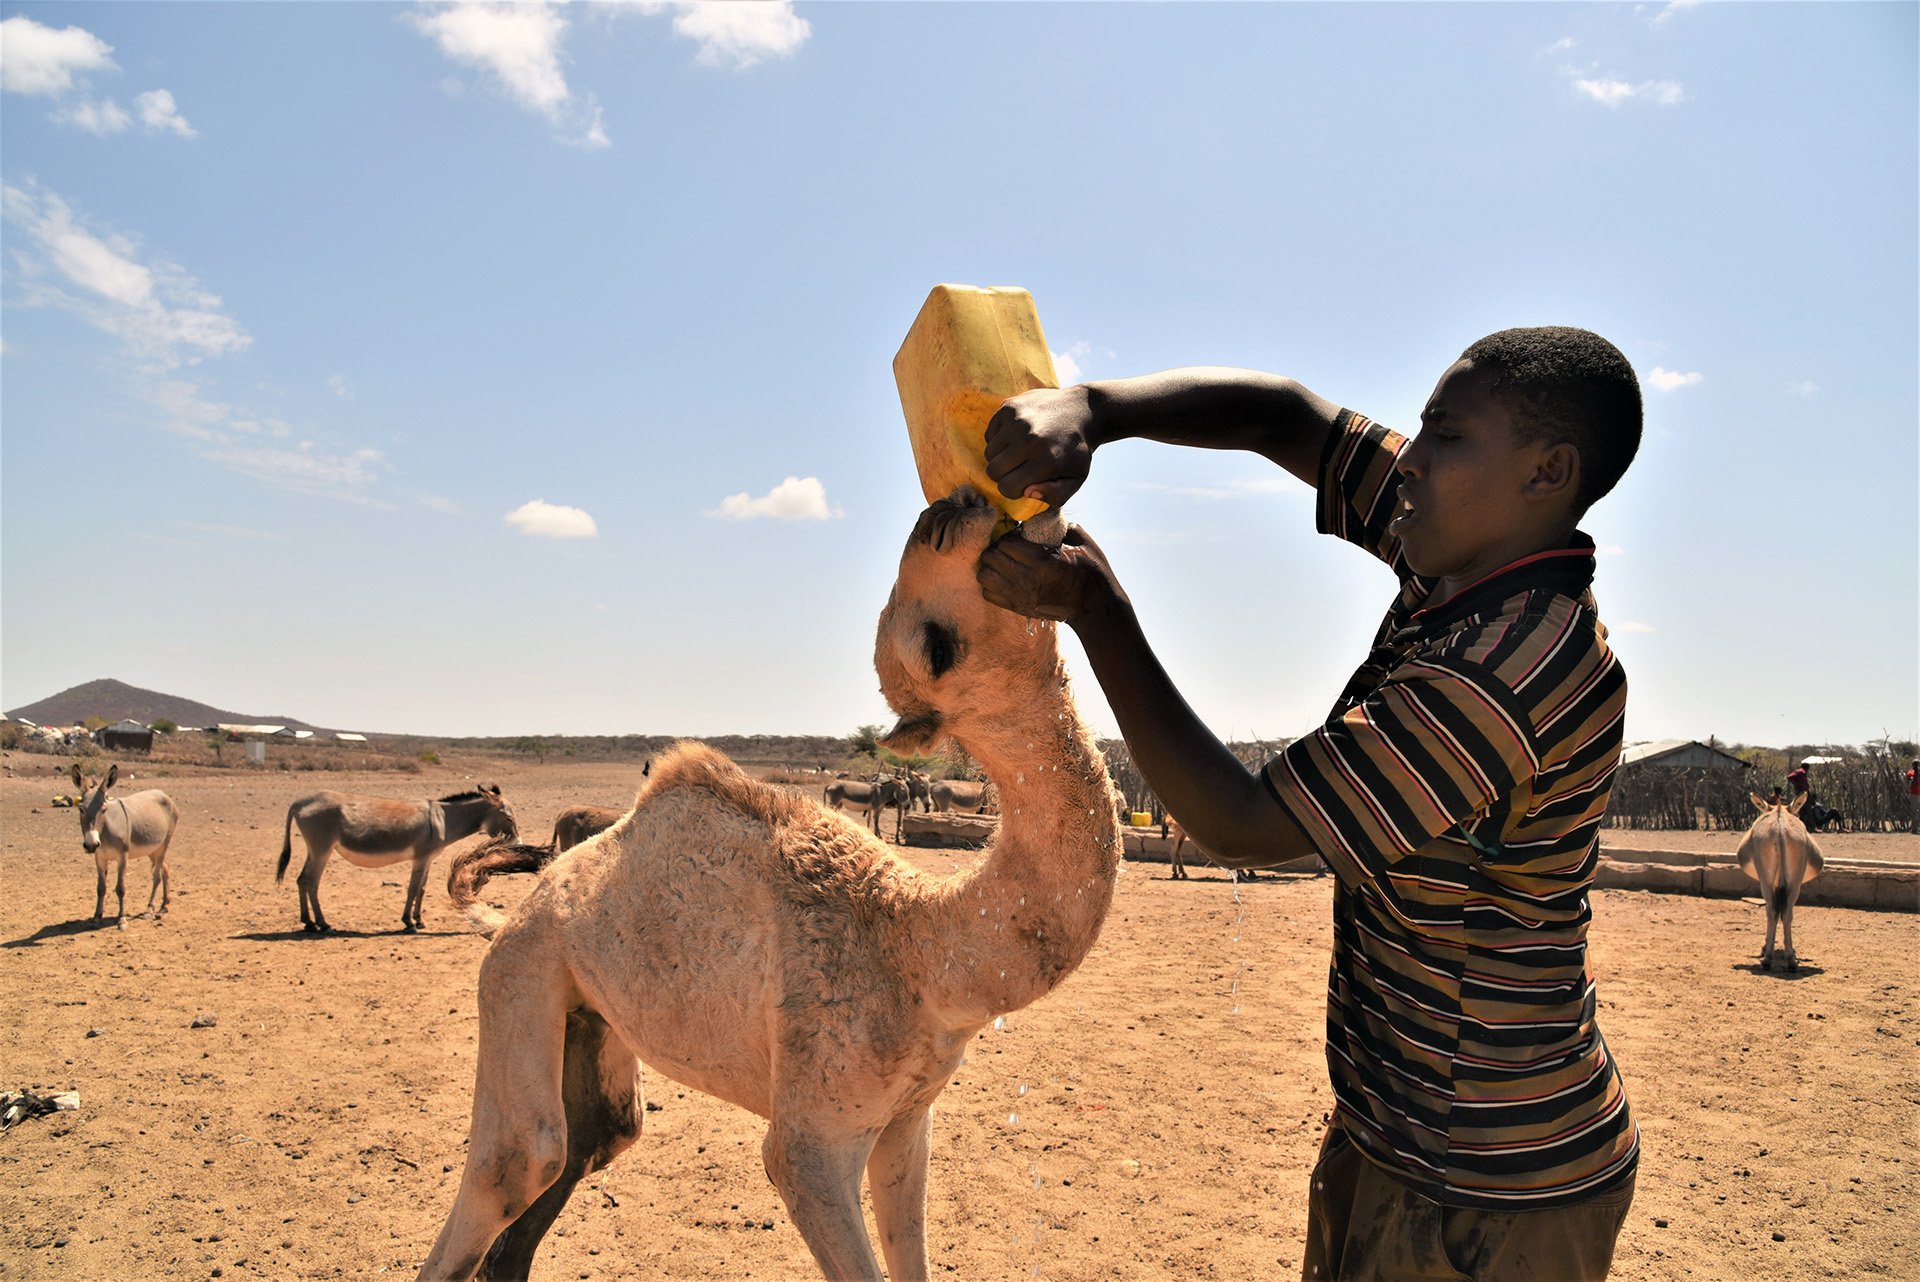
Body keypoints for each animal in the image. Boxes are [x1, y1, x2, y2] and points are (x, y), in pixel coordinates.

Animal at [1735, 790, 1820, 971]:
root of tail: (1779, 823)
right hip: (1793, 883)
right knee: (1785, 912)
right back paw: (1788, 959)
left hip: (1768, 881)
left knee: (1774, 910)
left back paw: (1770, 959)